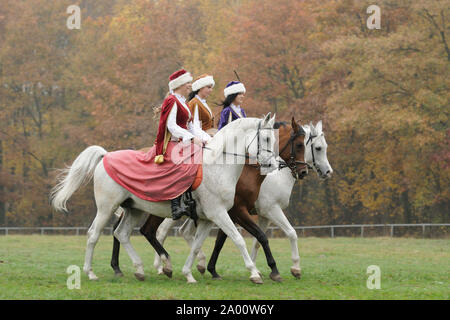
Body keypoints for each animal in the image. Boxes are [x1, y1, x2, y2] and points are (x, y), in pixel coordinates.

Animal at [51, 114, 278, 284]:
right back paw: (90, 272)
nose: (273, 165)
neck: (217, 166)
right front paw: (254, 273)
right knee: (94, 234)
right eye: (266, 139)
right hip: (107, 208)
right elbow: (238, 239)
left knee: (122, 233)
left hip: (134, 209)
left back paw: (140, 269)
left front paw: (188, 274)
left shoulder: (208, 218)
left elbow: (196, 246)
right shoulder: (220, 213)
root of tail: (106, 156)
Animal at [109, 116, 308, 282]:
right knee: (147, 230)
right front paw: (268, 270)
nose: (304, 171)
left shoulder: (235, 213)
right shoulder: (237, 211)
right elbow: (254, 237)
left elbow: (244, 239)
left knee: (136, 230)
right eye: (299, 145)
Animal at [153, 120, 332, 278]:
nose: (327, 172)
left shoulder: (260, 215)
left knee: (184, 232)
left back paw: (195, 264)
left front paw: (255, 268)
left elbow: (256, 240)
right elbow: (288, 233)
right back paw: (162, 267)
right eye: (317, 148)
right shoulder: (263, 210)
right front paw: (292, 268)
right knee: (162, 231)